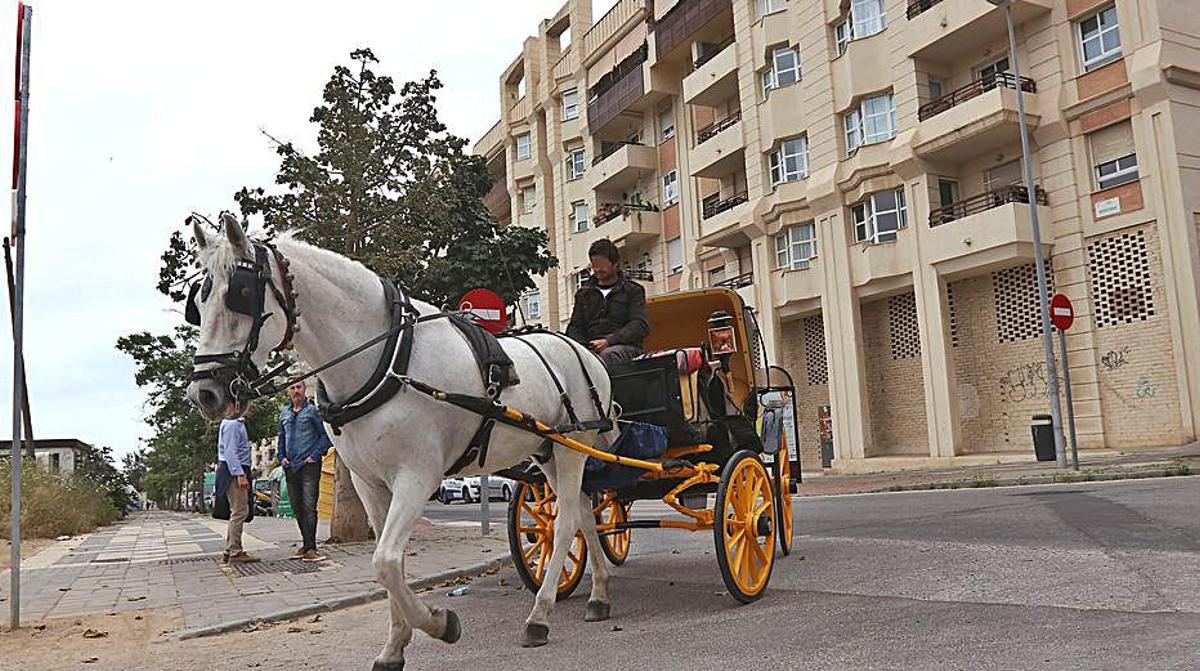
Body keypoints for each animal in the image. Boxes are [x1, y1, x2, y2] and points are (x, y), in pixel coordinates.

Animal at [185, 214, 616, 669]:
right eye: (200, 302)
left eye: (240, 294)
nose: (204, 393)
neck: (389, 358)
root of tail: (586, 352)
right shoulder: (369, 483)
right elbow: (391, 563)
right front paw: (394, 646)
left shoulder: (417, 476)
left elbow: (386, 562)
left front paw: (440, 623)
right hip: (548, 451)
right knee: (583, 511)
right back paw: (600, 594)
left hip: (573, 447)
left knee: (566, 522)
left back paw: (540, 614)